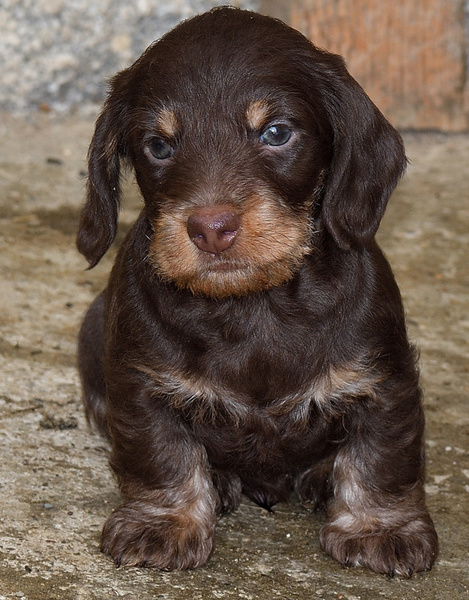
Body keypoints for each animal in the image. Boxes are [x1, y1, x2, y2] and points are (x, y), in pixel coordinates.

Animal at [76, 7, 438, 576]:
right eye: (158, 145)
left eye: (275, 132)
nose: (210, 228)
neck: (255, 305)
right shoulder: (139, 384)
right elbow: (161, 454)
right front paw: (164, 522)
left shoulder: (385, 380)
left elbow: (381, 458)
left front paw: (381, 528)